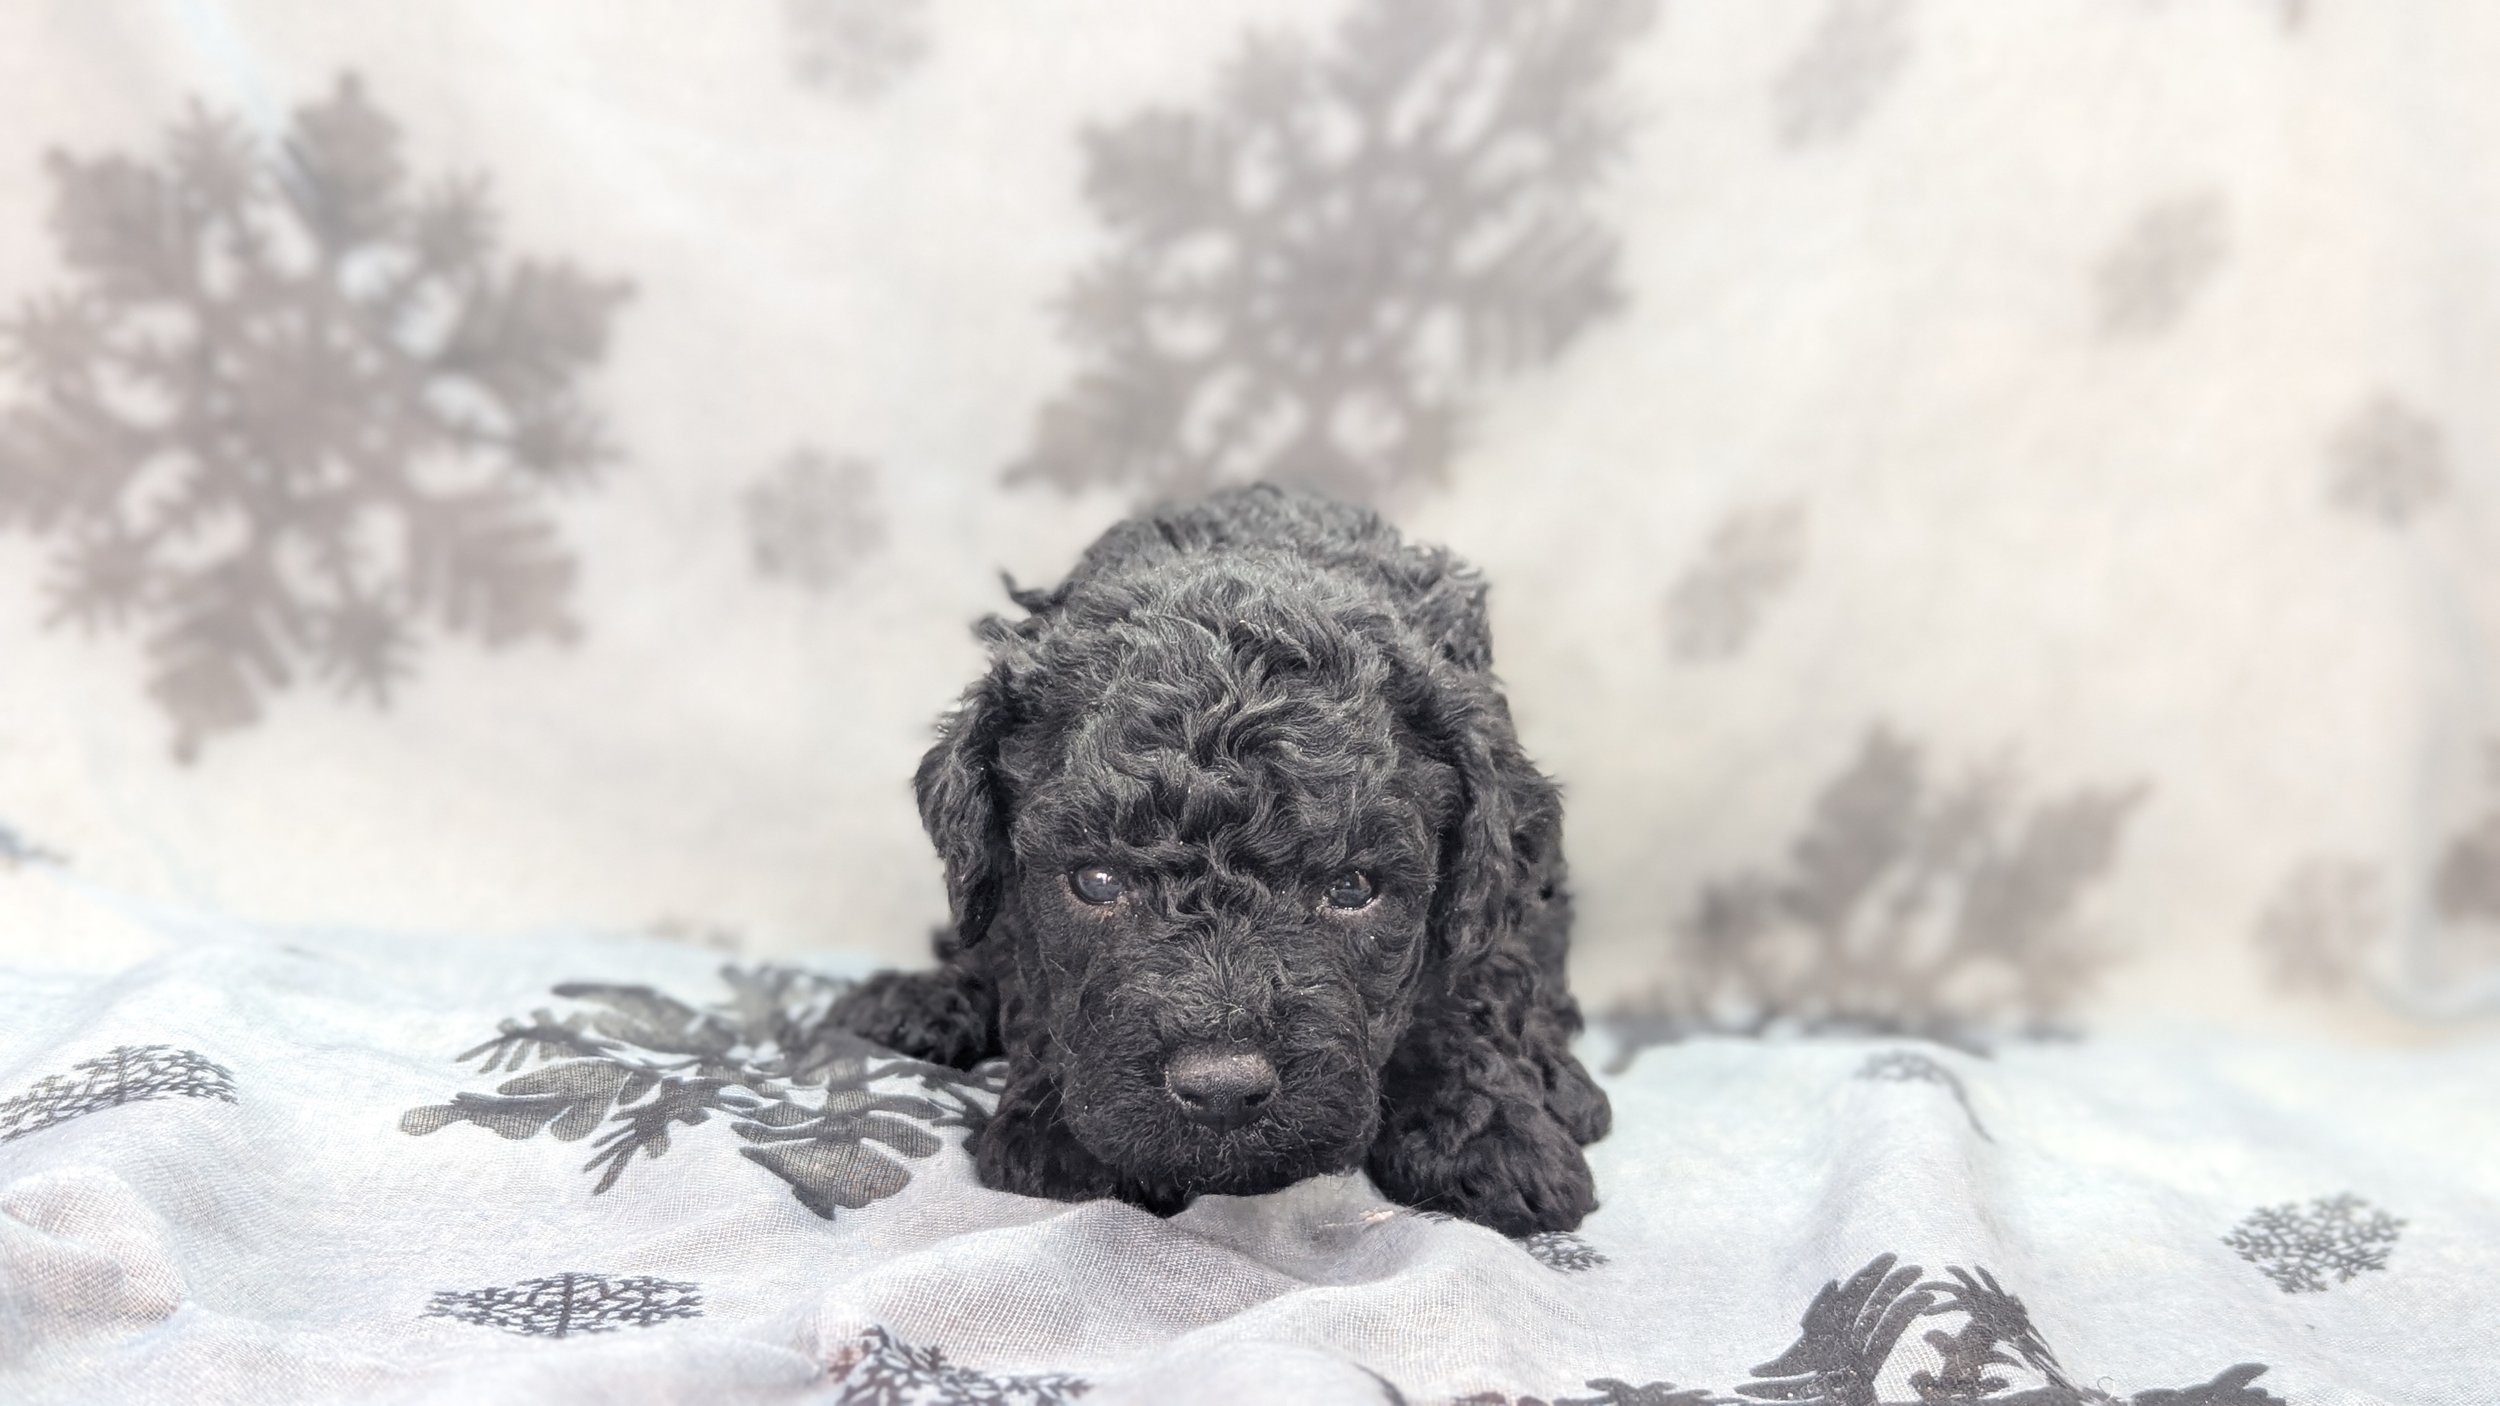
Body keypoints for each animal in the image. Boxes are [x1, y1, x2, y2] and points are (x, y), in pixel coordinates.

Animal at [828, 484, 1609, 1235]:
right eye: (1096, 880)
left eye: (1352, 887)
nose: (1223, 1090)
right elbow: (1028, 985)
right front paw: (1057, 1137)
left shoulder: (1492, 884)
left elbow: (1471, 985)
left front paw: (1487, 1136)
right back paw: (920, 1002)